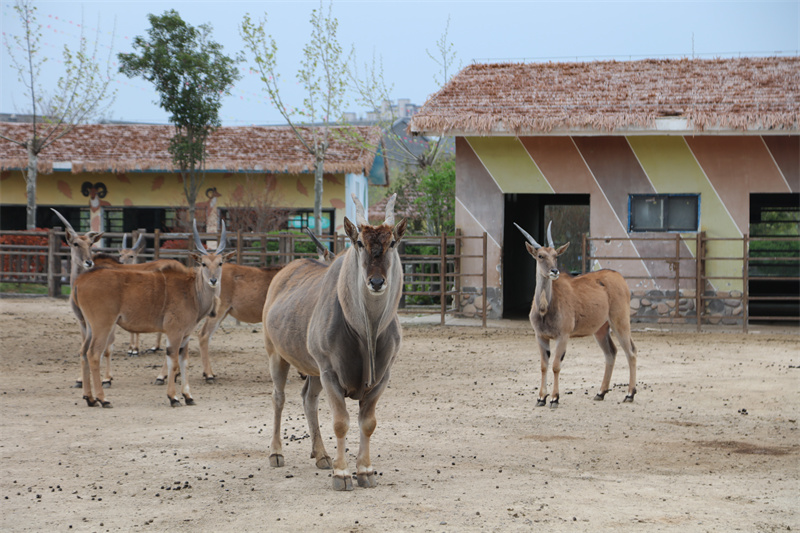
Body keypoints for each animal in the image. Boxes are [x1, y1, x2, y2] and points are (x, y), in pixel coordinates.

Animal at [72, 220, 231, 408]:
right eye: (204, 263)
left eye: (220, 263)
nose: (213, 280)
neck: (192, 291)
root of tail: (80, 281)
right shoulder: (174, 332)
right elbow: (173, 362)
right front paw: (173, 397)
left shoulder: (185, 335)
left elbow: (184, 362)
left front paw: (188, 396)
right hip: (102, 325)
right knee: (94, 354)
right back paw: (103, 399)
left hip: (88, 325)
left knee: (83, 352)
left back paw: (89, 398)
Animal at [262, 192, 406, 490]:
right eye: (360, 242)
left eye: (392, 242)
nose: (376, 282)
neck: (365, 332)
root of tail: (282, 274)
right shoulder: (330, 373)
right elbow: (341, 422)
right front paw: (342, 474)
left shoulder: (381, 378)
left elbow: (368, 423)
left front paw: (365, 471)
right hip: (277, 356)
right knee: (279, 397)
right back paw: (276, 453)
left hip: (313, 370)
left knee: (308, 398)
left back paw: (321, 455)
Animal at [516, 220, 640, 408]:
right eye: (540, 256)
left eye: (556, 255)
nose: (554, 271)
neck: (545, 307)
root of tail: (619, 277)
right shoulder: (540, 336)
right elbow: (544, 365)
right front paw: (541, 398)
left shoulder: (563, 336)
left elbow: (555, 365)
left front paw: (554, 398)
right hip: (601, 330)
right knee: (611, 353)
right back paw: (600, 393)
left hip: (620, 323)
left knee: (631, 352)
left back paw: (629, 394)